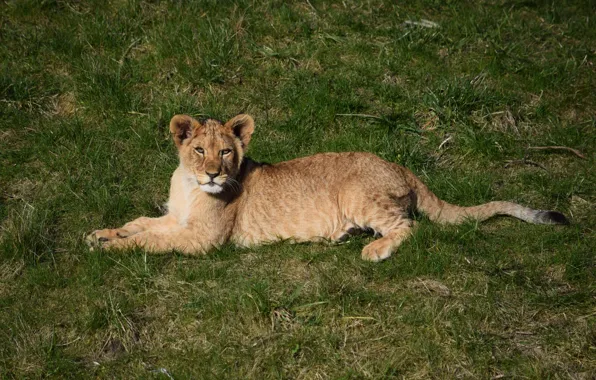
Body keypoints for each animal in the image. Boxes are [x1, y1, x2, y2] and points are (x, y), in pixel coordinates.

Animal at [87, 113, 568, 262]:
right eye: (199, 149)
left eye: (225, 152)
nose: (212, 175)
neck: (189, 187)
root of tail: (401, 166)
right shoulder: (177, 218)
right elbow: (141, 222)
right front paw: (100, 235)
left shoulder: (203, 239)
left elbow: (150, 240)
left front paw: (112, 249)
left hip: (358, 195)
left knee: (408, 226)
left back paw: (373, 249)